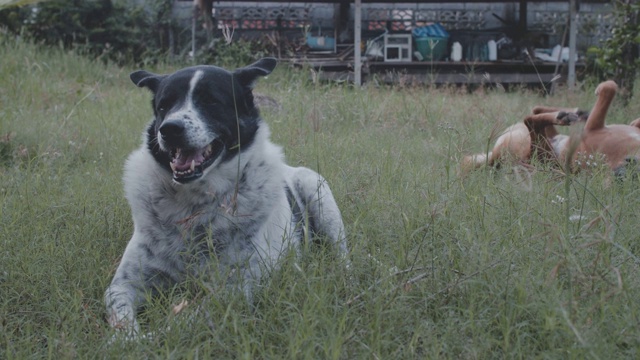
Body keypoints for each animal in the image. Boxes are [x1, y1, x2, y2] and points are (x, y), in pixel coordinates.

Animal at [104, 57, 348, 336]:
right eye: (164, 105)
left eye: (211, 101)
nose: (169, 129)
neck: (194, 205)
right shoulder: (124, 284)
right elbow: (124, 324)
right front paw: (127, 339)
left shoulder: (236, 288)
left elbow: (179, 324)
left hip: (318, 194)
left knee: (343, 257)